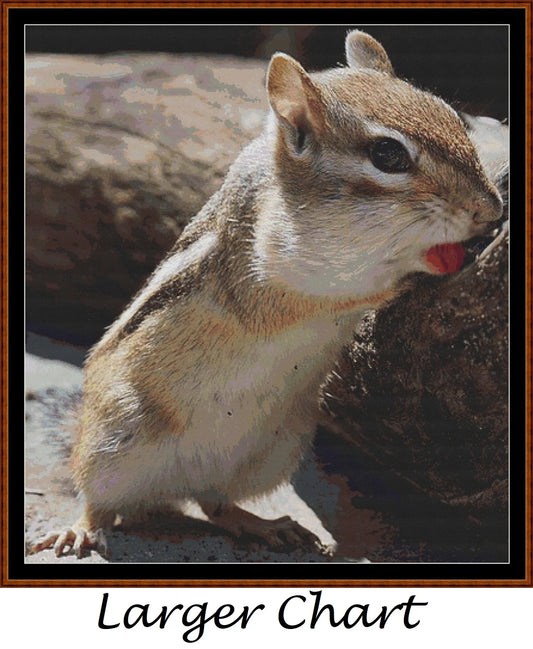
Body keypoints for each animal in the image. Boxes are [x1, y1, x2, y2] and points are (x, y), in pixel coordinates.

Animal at [32, 30, 503, 558]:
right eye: (388, 155)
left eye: (454, 115)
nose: (492, 209)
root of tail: (174, 484)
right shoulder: (266, 277)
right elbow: (338, 292)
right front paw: (416, 268)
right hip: (114, 440)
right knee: (98, 500)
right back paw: (81, 528)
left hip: (278, 448)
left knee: (216, 505)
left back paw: (267, 525)